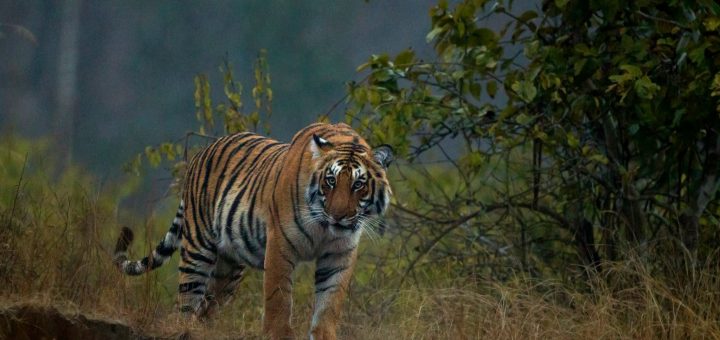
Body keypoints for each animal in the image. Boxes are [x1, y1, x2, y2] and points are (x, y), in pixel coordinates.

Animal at [112, 123, 394, 340]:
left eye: (358, 184)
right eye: (331, 181)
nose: (338, 216)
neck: (324, 229)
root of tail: (203, 151)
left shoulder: (338, 255)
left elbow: (329, 305)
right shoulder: (280, 245)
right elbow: (279, 299)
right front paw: (278, 335)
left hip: (228, 269)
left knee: (206, 306)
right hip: (198, 247)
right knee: (186, 303)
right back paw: (183, 329)